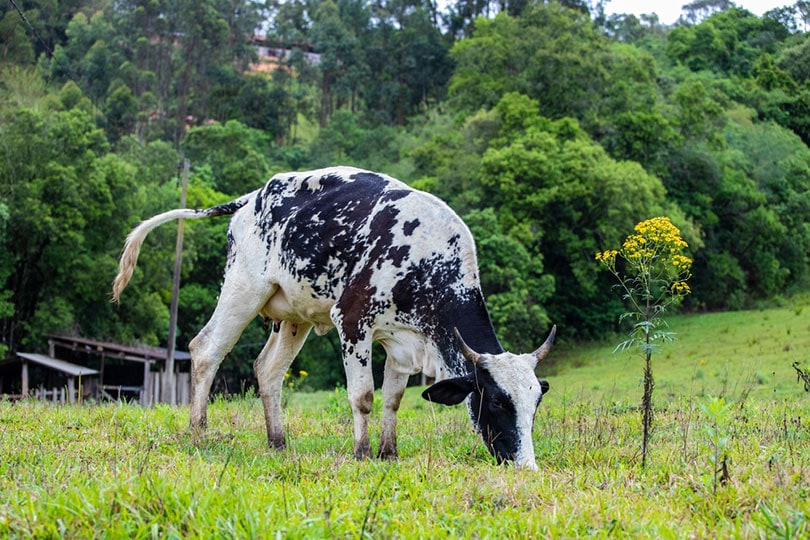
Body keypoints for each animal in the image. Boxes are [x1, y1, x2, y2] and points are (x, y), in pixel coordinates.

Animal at [112, 167, 556, 470]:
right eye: (497, 400)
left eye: (536, 402)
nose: (527, 466)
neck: (429, 258)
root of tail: (252, 197)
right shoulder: (353, 321)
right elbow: (363, 396)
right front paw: (363, 453)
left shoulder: (404, 343)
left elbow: (393, 399)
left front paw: (388, 452)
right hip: (243, 288)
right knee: (206, 350)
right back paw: (198, 432)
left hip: (293, 316)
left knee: (268, 369)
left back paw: (277, 442)